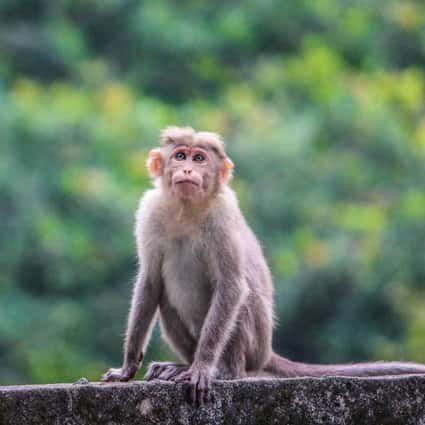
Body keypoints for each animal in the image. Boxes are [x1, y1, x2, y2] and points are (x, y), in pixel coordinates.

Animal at [102, 125, 424, 404]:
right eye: (180, 156)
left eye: (200, 158)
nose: (188, 170)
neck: (186, 209)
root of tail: (268, 351)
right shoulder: (149, 213)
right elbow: (151, 282)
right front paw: (127, 368)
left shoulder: (223, 216)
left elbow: (231, 285)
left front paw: (203, 368)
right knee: (166, 298)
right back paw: (182, 365)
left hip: (255, 344)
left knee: (242, 300)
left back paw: (223, 370)